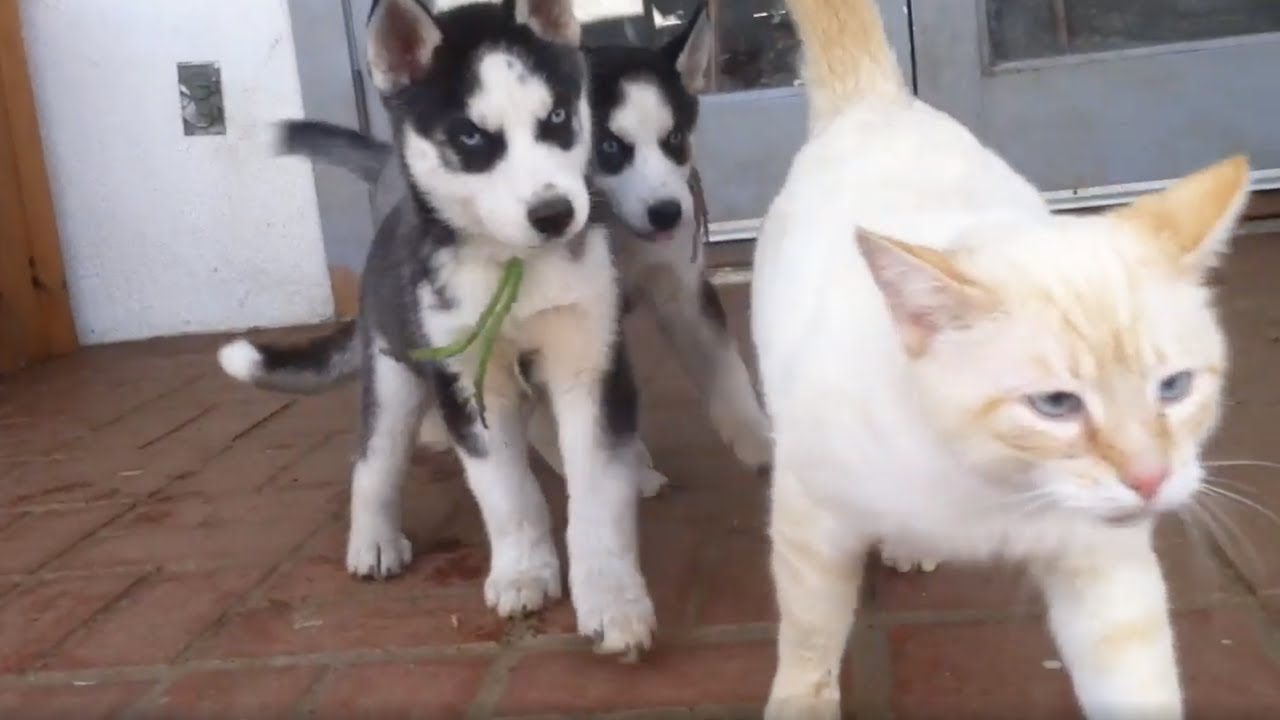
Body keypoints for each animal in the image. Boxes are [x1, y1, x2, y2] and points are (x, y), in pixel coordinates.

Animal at [220, 0, 655, 650]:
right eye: (471, 136)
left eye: (556, 116)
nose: (555, 215)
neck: (514, 270)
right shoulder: (464, 382)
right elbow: (506, 492)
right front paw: (523, 572)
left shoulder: (589, 361)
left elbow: (598, 493)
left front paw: (612, 601)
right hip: (395, 375)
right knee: (373, 461)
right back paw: (373, 540)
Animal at [267, 4, 768, 481]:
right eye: (609, 147)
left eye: (675, 139)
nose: (668, 213)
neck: (615, 233)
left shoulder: (677, 291)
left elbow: (725, 368)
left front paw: (757, 440)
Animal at [752, 0, 1244, 712]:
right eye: (1056, 405)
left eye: (1174, 389)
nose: (1151, 481)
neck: (989, 489)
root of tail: (877, 102)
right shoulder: (810, 522)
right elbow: (810, 635)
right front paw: (801, 702)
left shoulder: (1104, 569)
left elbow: (1138, 686)